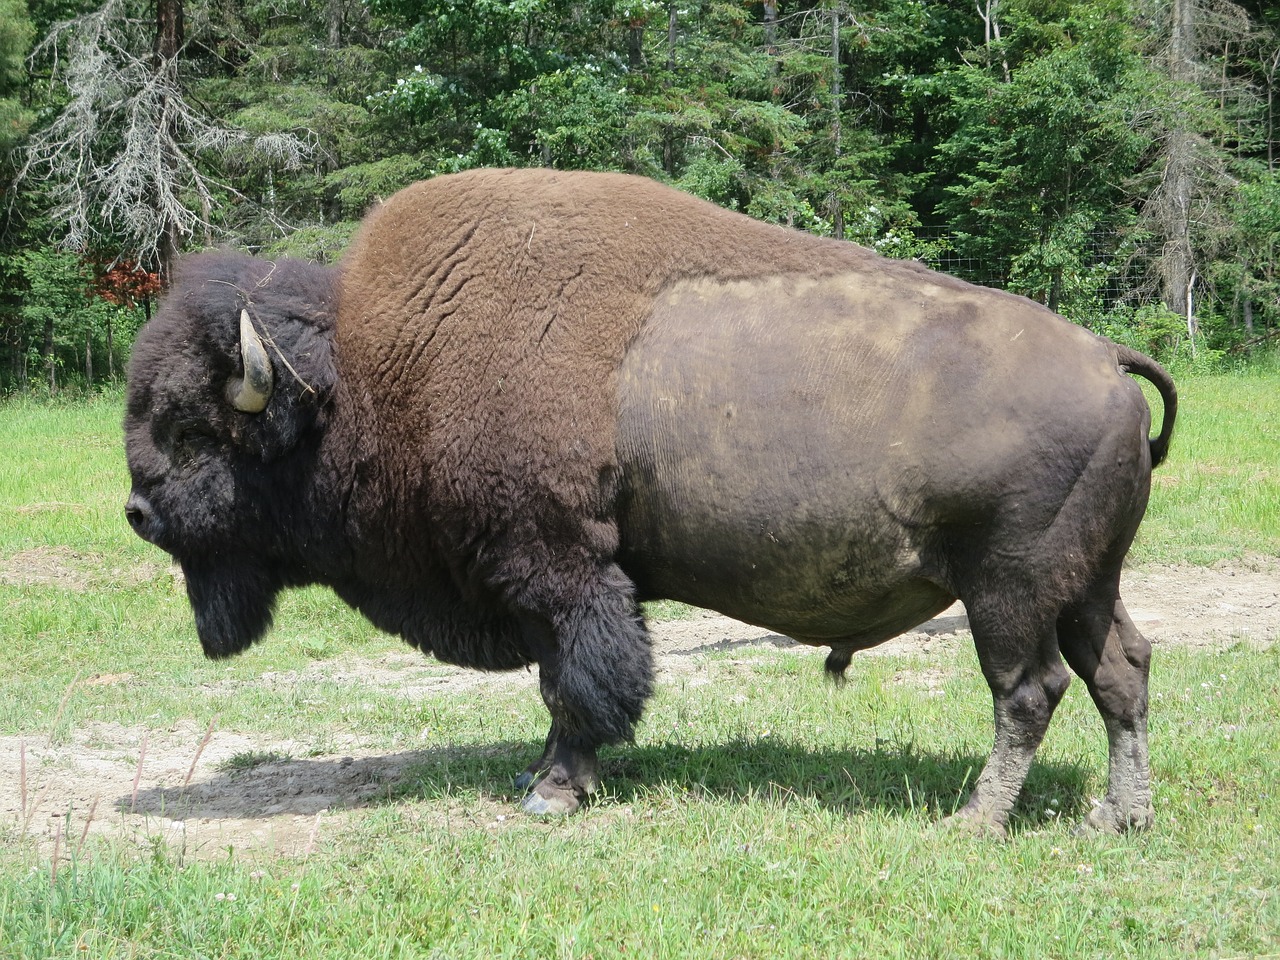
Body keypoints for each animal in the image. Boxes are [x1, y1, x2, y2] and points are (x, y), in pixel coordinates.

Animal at [124, 168, 1172, 839]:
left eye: (194, 428)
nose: (138, 512)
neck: (372, 368)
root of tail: (1108, 361)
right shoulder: (561, 580)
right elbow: (567, 686)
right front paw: (543, 776)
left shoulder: (557, 569)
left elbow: (579, 683)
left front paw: (553, 793)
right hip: (1088, 582)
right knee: (1122, 672)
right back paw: (1117, 817)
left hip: (1009, 589)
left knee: (1028, 691)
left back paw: (975, 821)